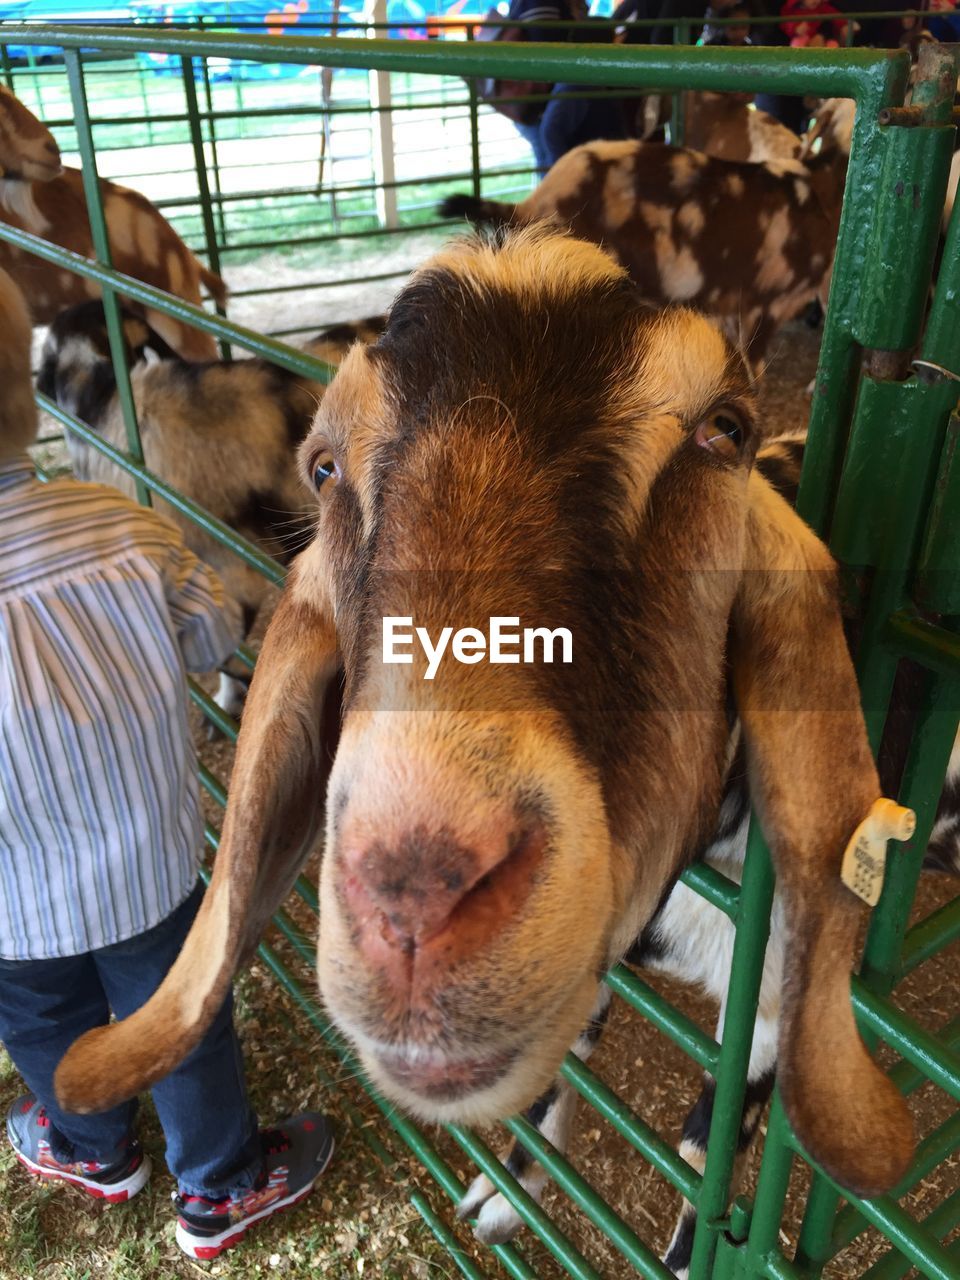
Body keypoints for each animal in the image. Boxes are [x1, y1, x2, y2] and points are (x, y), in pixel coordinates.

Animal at [54, 235, 926, 1244]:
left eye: (724, 430)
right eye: (323, 466)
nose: (417, 895)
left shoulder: (777, 1015)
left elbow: (701, 1167)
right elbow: (564, 1070)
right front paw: (507, 1198)